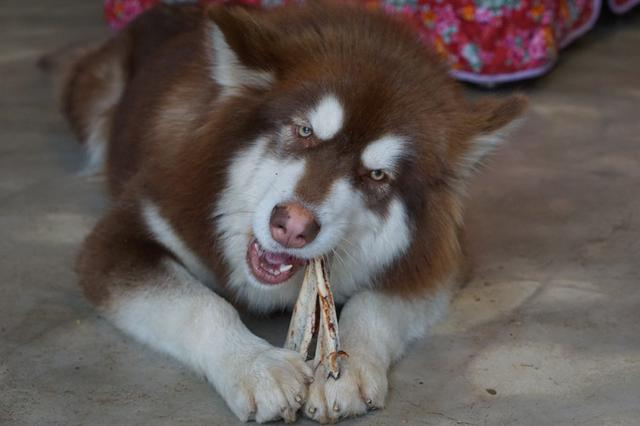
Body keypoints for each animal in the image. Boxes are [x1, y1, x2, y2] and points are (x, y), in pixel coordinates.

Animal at [56, 2, 524, 422]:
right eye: (304, 131)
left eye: (377, 175)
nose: (292, 227)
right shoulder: (123, 235)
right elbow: (200, 305)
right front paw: (255, 366)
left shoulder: (435, 259)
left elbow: (375, 303)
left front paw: (346, 367)